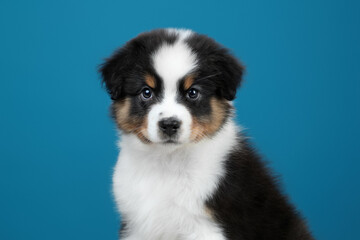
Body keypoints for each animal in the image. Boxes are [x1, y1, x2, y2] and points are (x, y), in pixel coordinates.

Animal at [100, 28, 314, 240]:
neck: (167, 162)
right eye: (146, 92)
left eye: (193, 93)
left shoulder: (206, 227)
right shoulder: (136, 224)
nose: (169, 125)